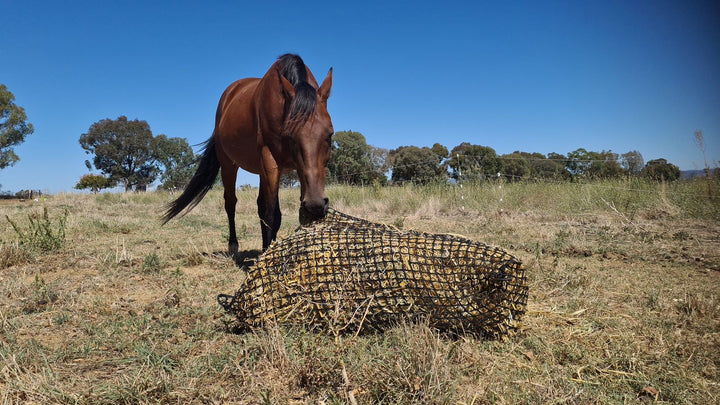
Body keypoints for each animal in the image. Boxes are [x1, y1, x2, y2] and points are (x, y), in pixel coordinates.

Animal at [162, 52, 334, 251]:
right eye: (290, 136)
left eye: (330, 135)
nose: (315, 205)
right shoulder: (270, 161)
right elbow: (271, 213)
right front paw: (268, 251)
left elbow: (273, 212)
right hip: (229, 165)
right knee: (231, 203)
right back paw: (233, 244)